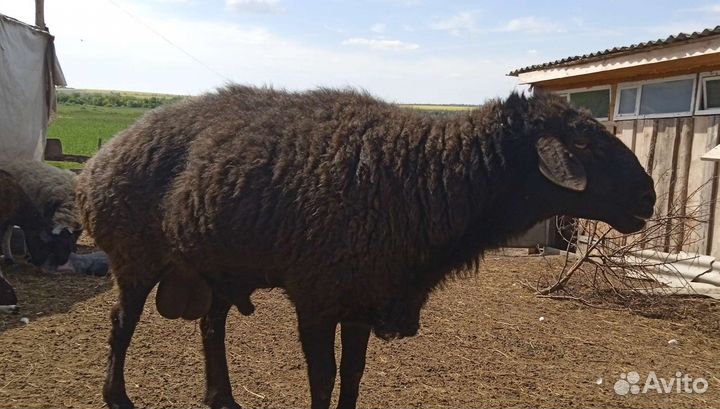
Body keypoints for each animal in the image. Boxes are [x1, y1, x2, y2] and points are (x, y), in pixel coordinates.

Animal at [76, 86, 656, 409]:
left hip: (216, 268)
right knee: (121, 324)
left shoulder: (362, 300)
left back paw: (223, 399)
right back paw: (117, 397)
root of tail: (98, 161)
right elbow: (323, 378)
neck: (426, 177)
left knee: (211, 326)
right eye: (581, 142)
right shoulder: (317, 299)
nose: (648, 196)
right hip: (134, 257)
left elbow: (353, 378)